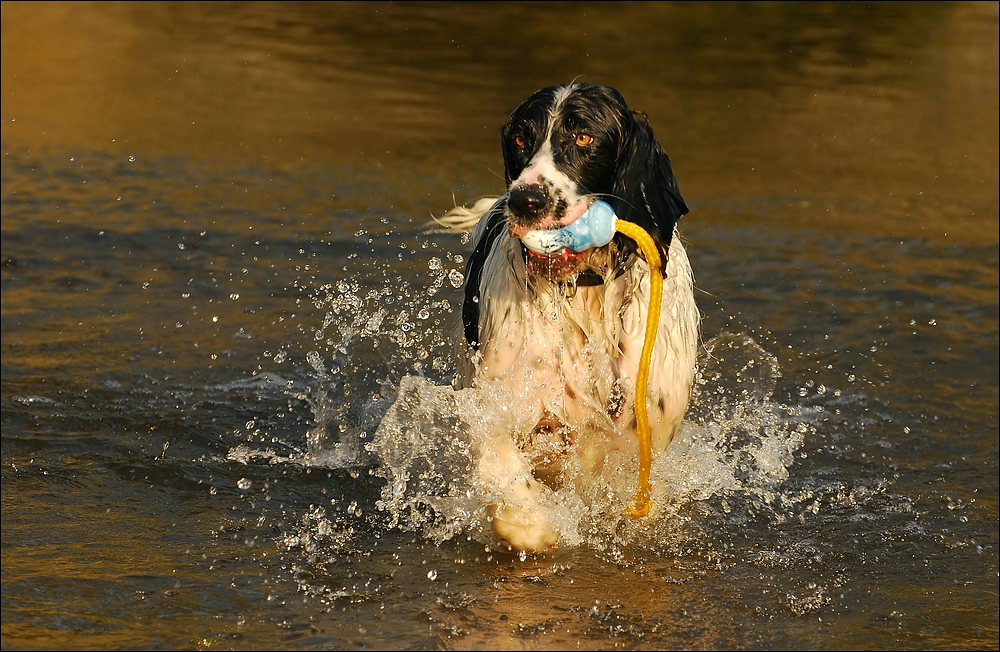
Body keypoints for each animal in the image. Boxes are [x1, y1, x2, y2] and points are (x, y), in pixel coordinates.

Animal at [442, 80, 700, 552]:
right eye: (520, 139)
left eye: (583, 137)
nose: (525, 200)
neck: (584, 290)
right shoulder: (501, 401)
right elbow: (505, 471)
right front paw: (531, 522)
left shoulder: (642, 430)